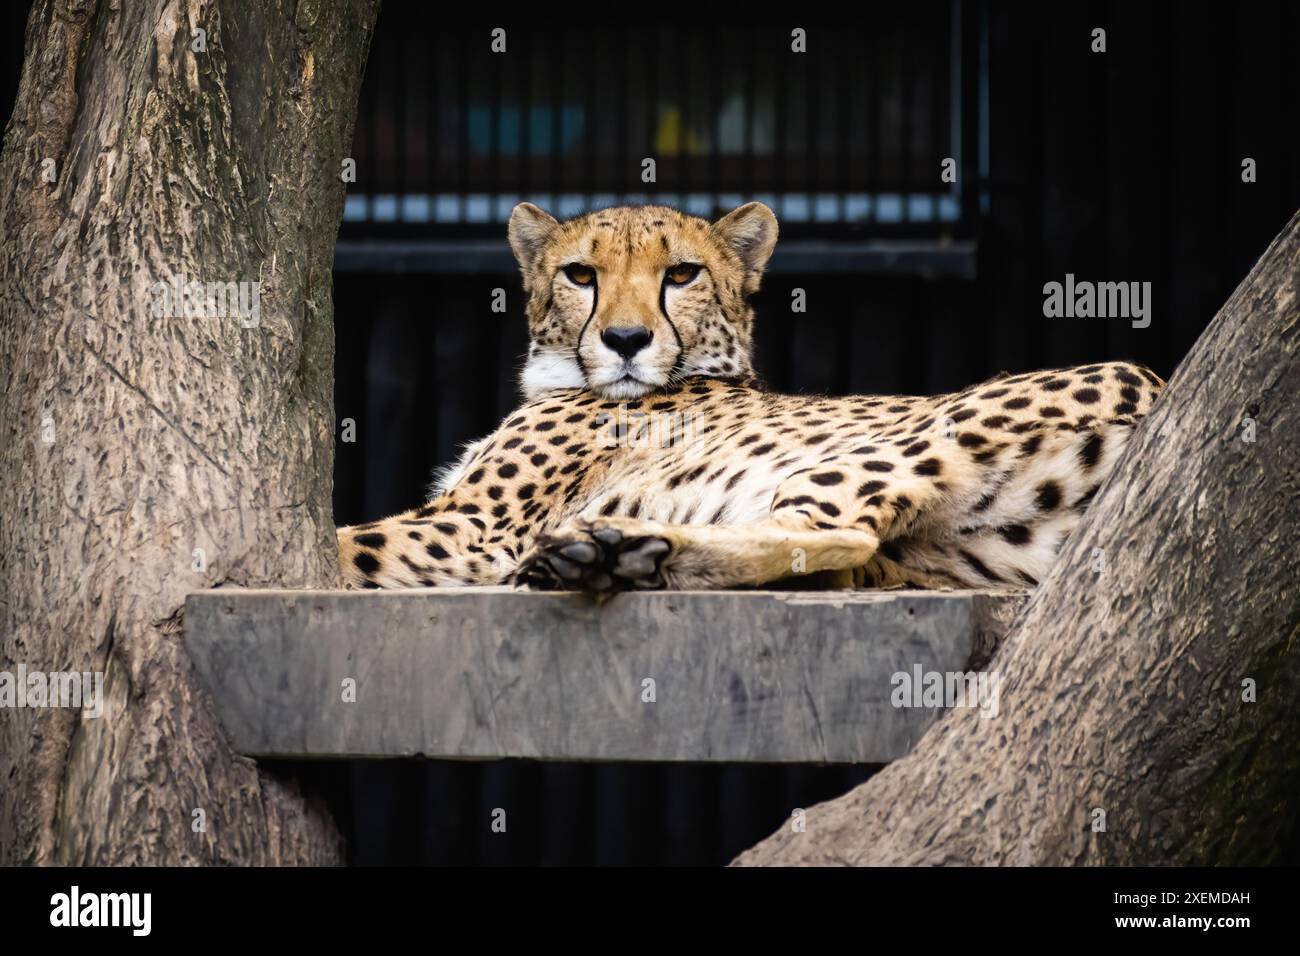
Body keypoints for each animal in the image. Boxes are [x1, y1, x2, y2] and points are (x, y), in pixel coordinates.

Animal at [338, 201, 1170, 590]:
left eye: (682, 274)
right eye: (581, 275)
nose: (627, 339)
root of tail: (1157, 383)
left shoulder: (479, 528)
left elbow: (352, 540)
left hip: (911, 440)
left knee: (840, 533)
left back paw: (610, 551)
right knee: (841, 560)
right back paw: (617, 559)